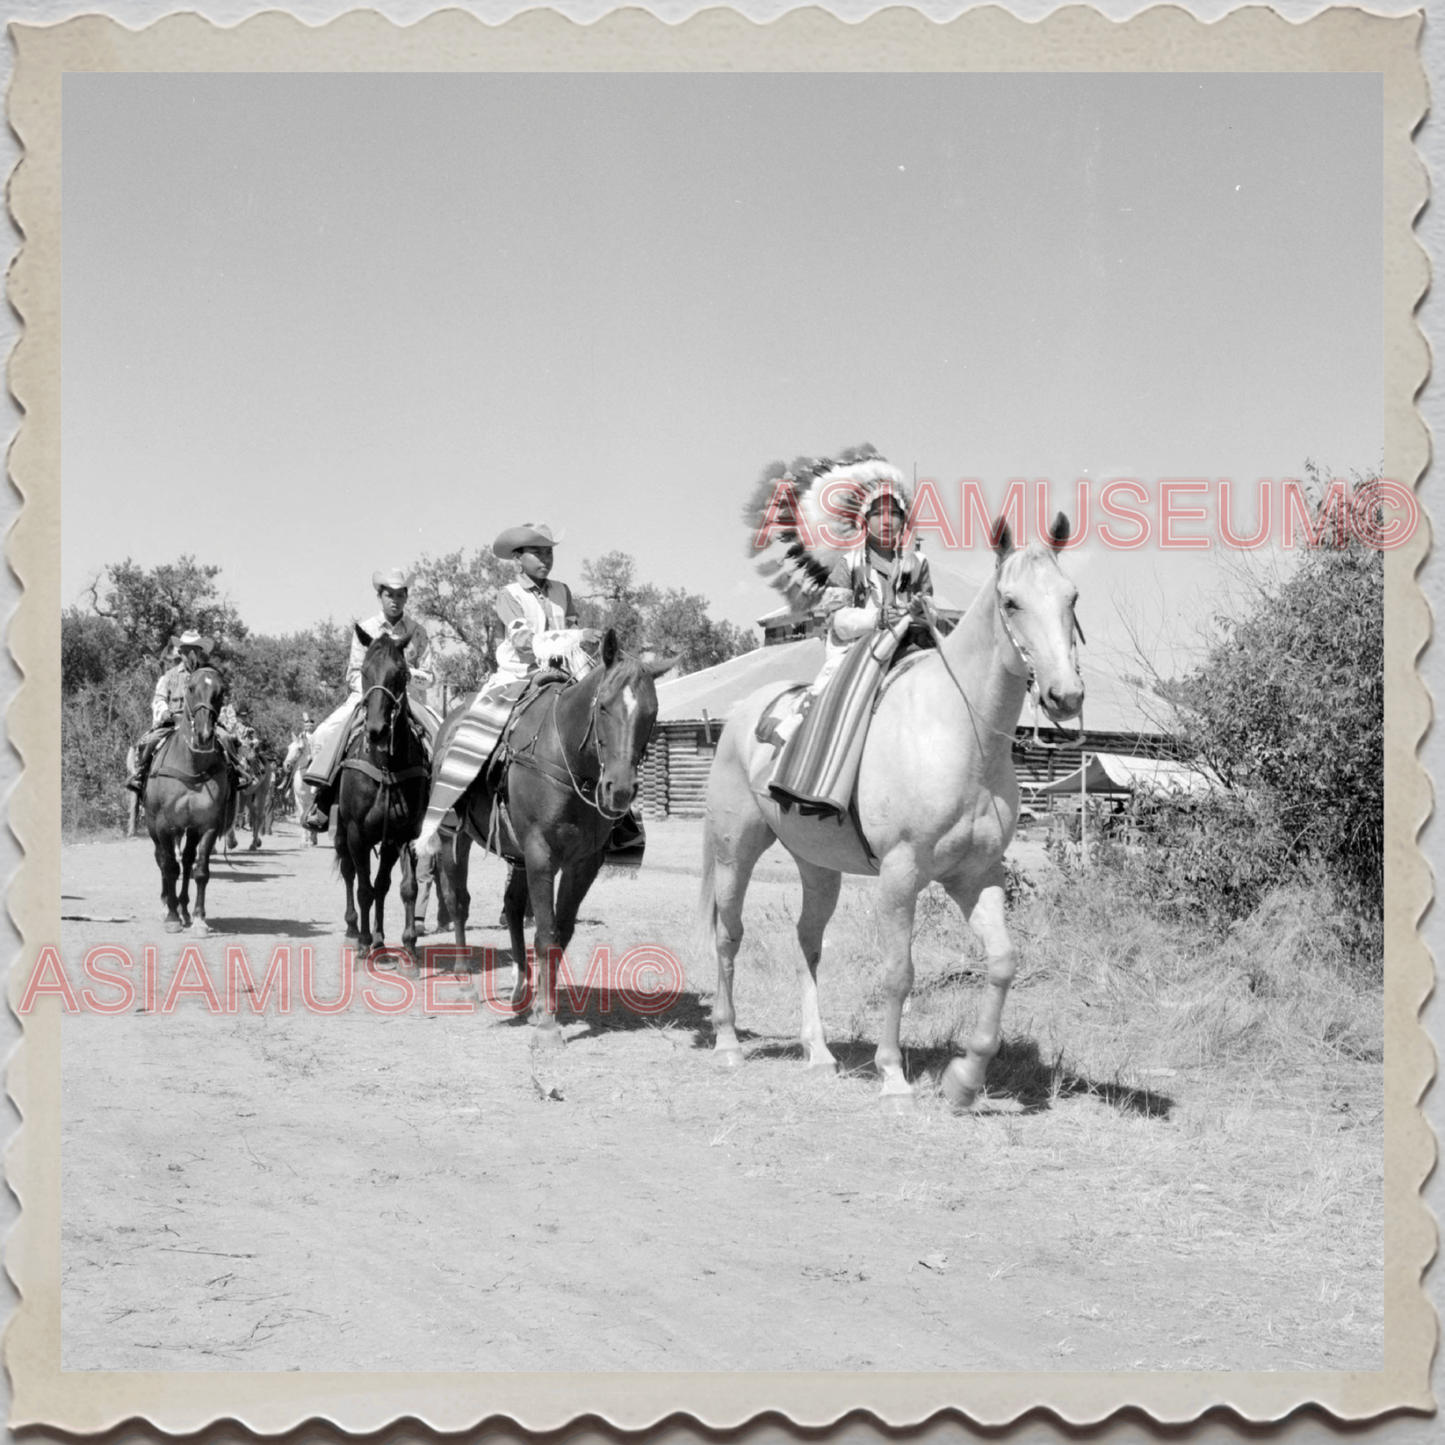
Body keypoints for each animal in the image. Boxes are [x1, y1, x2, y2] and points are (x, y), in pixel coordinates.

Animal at [141, 664, 234, 936]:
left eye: (221, 692)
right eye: (191, 689)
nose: (203, 734)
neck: (191, 766)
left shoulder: (207, 825)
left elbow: (200, 870)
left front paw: (199, 918)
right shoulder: (163, 824)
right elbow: (170, 867)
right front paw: (171, 917)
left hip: (189, 830)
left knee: (187, 860)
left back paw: (183, 908)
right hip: (153, 826)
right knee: (163, 860)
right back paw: (167, 906)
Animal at [332, 630, 427, 959]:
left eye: (400, 673)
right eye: (364, 672)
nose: (377, 730)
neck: (385, 766)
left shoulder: (405, 834)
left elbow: (405, 887)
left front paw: (408, 945)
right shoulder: (356, 833)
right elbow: (363, 889)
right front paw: (362, 943)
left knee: (382, 884)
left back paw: (380, 939)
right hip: (341, 831)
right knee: (349, 872)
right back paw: (353, 931)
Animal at [430, 627, 673, 1046]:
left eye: (651, 713)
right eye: (604, 706)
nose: (620, 789)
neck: (569, 761)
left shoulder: (582, 864)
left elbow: (563, 930)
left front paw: (545, 1007)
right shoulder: (541, 854)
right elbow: (546, 934)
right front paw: (547, 1025)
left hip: (517, 856)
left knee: (512, 908)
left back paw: (521, 994)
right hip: (453, 836)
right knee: (458, 901)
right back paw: (465, 982)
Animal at [699, 514, 1086, 1109]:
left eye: (1072, 596)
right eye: (1011, 601)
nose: (1066, 696)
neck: (959, 733)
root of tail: (742, 715)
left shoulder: (976, 875)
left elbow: (1002, 962)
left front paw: (964, 1079)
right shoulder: (900, 874)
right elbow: (899, 971)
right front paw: (892, 1073)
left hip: (818, 867)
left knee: (807, 940)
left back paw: (818, 1052)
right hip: (733, 852)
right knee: (728, 934)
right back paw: (727, 1042)